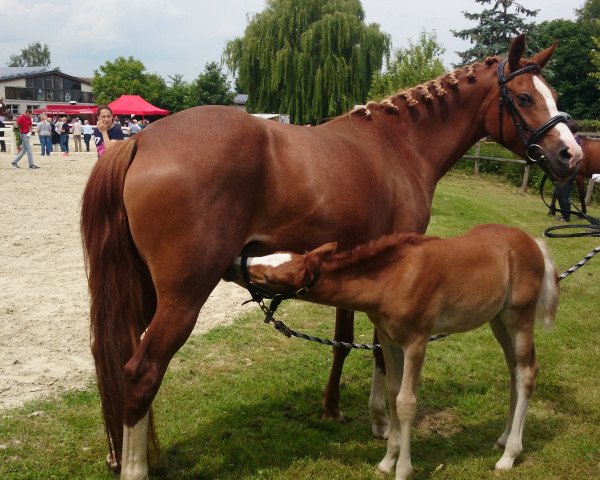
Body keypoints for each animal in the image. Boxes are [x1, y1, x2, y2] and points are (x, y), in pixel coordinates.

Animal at [227, 225, 560, 480]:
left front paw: (403, 470)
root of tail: (535, 243)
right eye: (267, 256)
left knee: (527, 372)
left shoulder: (417, 342)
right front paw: (387, 461)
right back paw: (503, 439)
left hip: (519, 317)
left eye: (271, 277)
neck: (395, 279)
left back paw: (509, 456)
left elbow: (406, 402)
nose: (231, 263)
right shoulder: (388, 339)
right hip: (498, 320)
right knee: (513, 371)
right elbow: (391, 392)